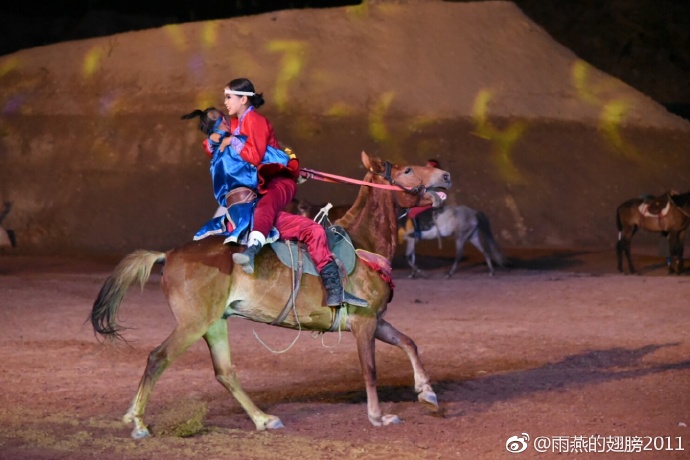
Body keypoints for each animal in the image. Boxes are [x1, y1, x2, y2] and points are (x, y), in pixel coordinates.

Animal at [88, 152, 448, 438]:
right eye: (407, 170)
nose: (445, 175)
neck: (362, 243)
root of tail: (170, 255)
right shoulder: (363, 323)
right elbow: (370, 370)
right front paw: (378, 416)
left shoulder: (376, 320)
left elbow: (409, 343)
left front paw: (426, 392)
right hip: (193, 324)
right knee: (158, 358)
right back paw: (138, 422)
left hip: (214, 324)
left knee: (225, 372)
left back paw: (263, 419)